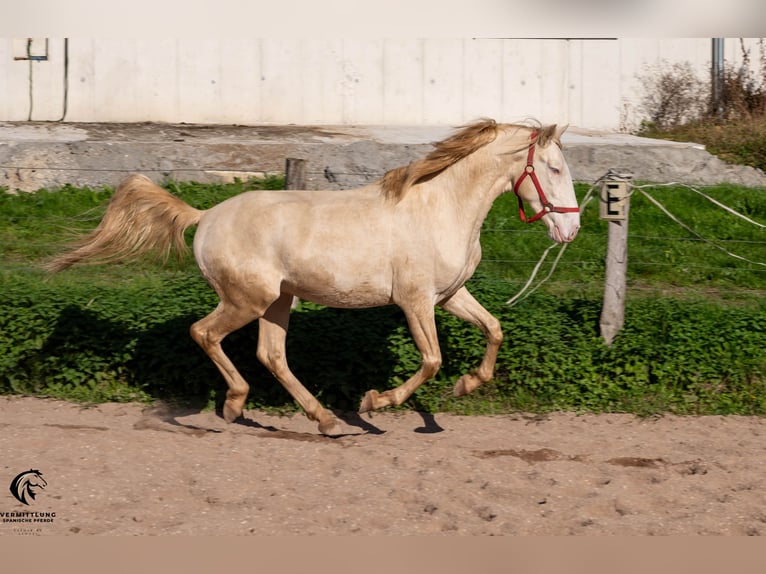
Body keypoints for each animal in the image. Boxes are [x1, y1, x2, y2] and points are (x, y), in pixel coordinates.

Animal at [48, 120, 584, 436]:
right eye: (554, 168)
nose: (571, 229)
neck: (440, 208)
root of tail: (206, 216)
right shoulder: (414, 301)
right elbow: (432, 360)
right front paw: (376, 403)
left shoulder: (449, 295)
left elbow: (494, 330)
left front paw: (466, 386)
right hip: (248, 299)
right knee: (205, 333)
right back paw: (235, 405)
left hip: (278, 302)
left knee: (271, 354)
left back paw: (322, 419)